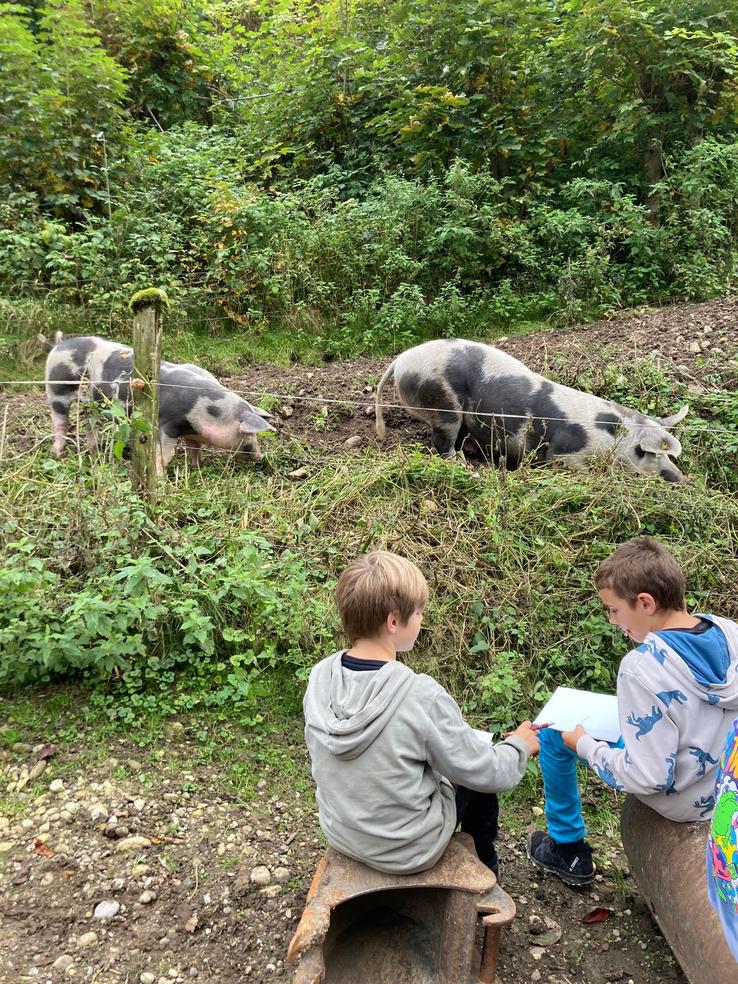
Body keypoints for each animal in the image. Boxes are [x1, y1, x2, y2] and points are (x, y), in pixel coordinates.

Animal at [46, 334, 276, 472]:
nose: (260, 455)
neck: (209, 410)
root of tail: (59, 345)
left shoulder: (192, 432)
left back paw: (93, 452)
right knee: (60, 421)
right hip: (56, 389)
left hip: (90, 403)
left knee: (89, 423)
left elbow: (195, 449)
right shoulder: (168, 425)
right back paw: (57, 453)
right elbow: (165, 453)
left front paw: (196, 467)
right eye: (249, 434)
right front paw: (160, 473)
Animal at [376, 340, 688, 482]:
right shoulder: (566, 455)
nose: (680, 478)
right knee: (442, 443)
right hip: (442, 404)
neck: (613, 436)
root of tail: (400, 361)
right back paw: (466, 467)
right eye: (650, 453)